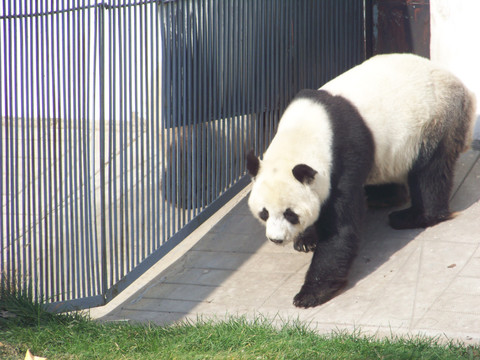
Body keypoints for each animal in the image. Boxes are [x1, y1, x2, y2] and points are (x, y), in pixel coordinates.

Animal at [248, 54, 476, 310]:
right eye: (264, 213)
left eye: (290, 214)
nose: (276, 239)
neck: (303, 133)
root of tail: (461, 86)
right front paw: (306, 239)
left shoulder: (345, 157)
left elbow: (340, 229)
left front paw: (309, 294)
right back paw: (384, 197)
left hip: (435, 122)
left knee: (430, 174)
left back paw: (411, 216)